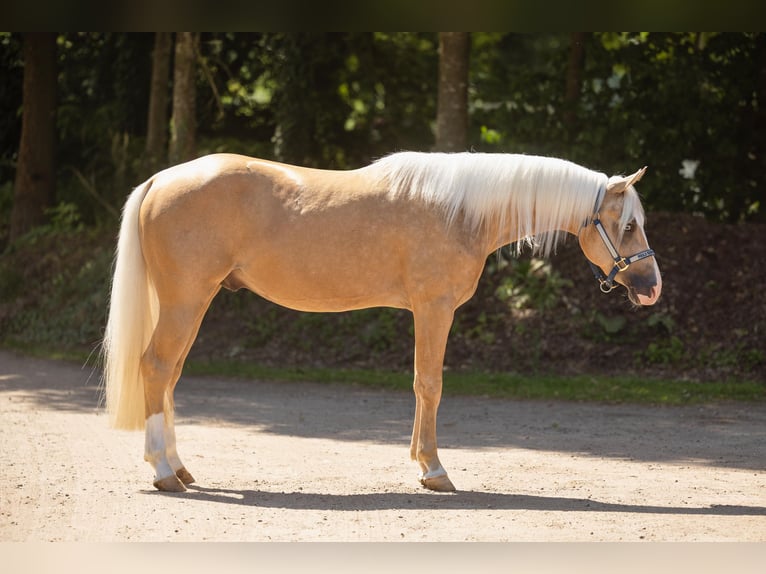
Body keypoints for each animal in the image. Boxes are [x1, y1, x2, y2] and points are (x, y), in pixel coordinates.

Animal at [102, 151, 661, 493]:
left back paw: (179, 467)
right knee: (156, 367)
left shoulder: (427, 313)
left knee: (170, 375)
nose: (652, 287)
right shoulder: (434, 309)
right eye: (628, 226)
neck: (460, 211)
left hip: (193, 303)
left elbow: (419, 384)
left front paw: (421, 463)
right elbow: (430, 383)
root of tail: (161, 179)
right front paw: (434, 469)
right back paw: (163, 473)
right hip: (185, 300)